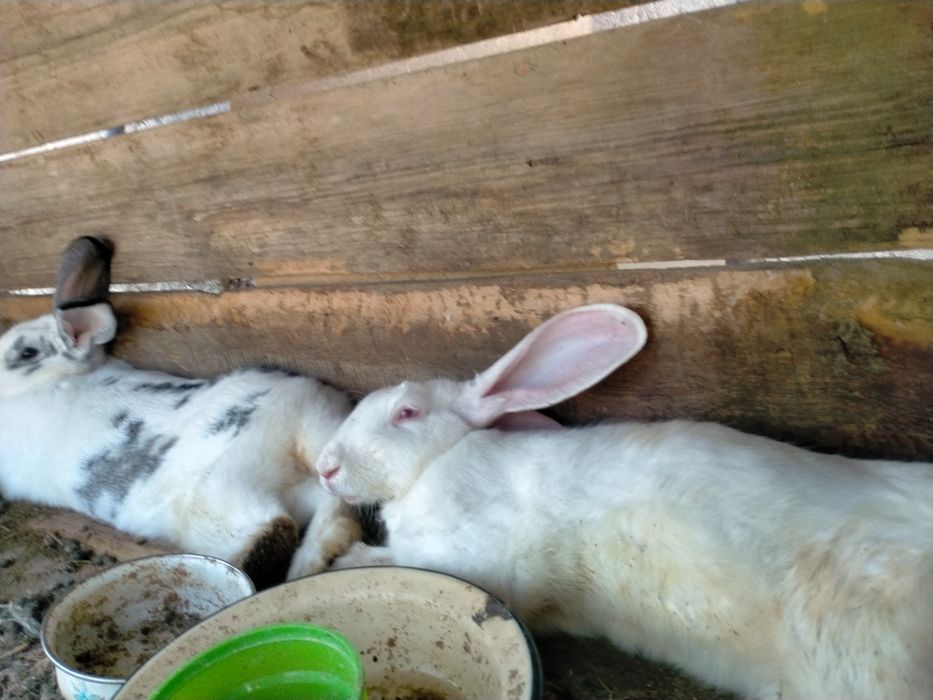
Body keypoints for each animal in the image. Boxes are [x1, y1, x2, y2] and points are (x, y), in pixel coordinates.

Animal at [0, 236, 360, 588]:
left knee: (272, 525)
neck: (52, 381)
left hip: (217, 497)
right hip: (303, 475)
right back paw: (315, 558)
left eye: (27, 352)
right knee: (331, 509)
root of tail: (293, 429)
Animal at [316, 303, 933, 700]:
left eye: (406, 413)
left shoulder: (473, 556)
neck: (436, 464)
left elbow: (404, 559)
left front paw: (348, 558)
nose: (325, 467)